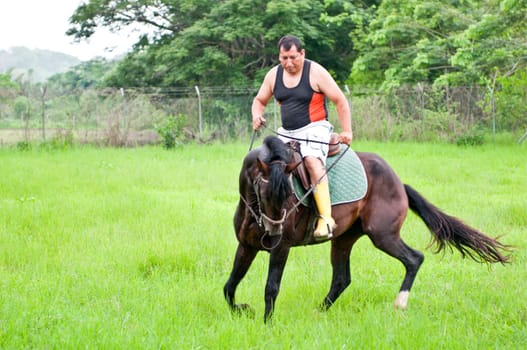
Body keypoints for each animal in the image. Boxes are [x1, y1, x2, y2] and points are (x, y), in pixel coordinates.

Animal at [224, 135, 512, 322]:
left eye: (289, 196)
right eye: (264, 194)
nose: (273, 234)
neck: (255, 213)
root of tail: (399, 183)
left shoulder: (282, 249)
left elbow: (271, 287)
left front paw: (267, 324)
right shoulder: (246, 246)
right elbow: (230, 285)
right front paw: (243, 310)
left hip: (383, 235)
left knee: (414, 259)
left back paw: (400, 303)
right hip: (343, 239)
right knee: (342, 279)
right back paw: (319, 311)